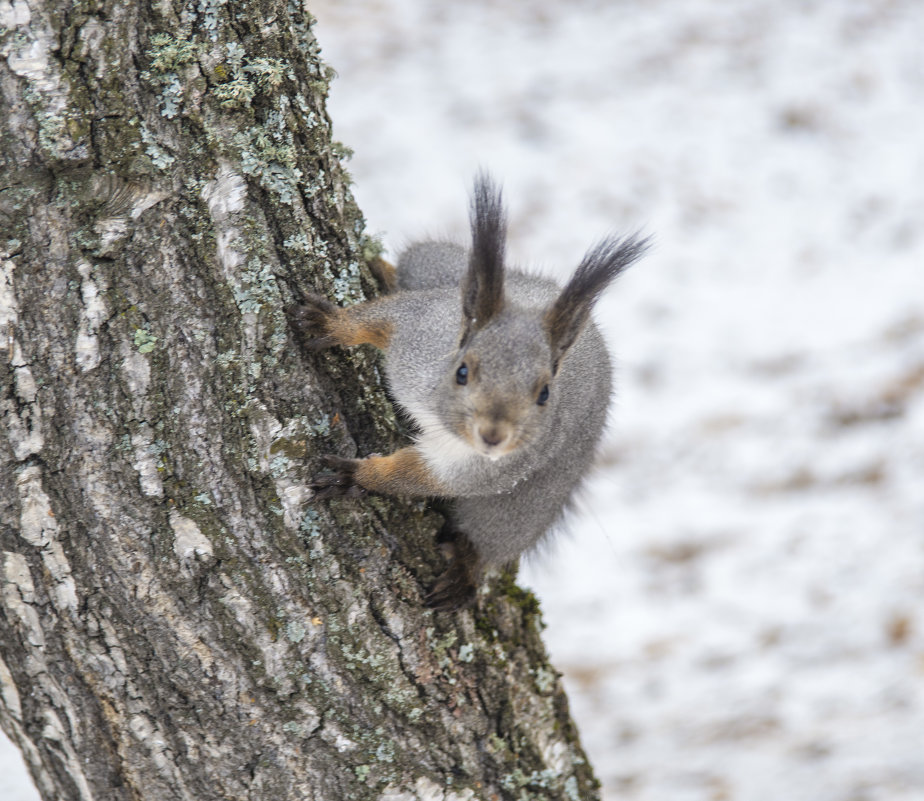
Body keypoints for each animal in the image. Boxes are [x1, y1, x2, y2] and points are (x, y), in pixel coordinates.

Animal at [290, 175, 648, 608]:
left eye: (544, 394)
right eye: (462, 372)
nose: (493, 436)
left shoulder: (487, 468)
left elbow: (417, 476)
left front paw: (357, 476)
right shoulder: (418, 332)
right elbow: (375, 319)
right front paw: (331, 323)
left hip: (523, 507)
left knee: (492, 537)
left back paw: (467, 568)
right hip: (434, 263)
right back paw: (384, 270)